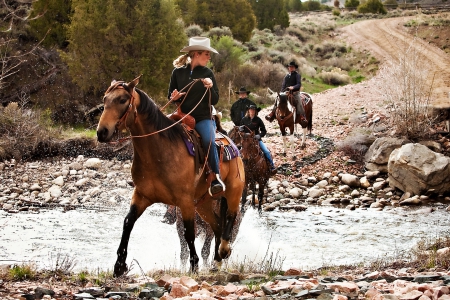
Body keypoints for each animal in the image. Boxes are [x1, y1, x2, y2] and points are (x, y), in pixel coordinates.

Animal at [96, 75, 244, 276]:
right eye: (105, 99)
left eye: (122, 100)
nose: (102, 132)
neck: (159, 152)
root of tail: (232, 143)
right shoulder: (142, 195)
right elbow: (128, 222)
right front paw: (119, 265)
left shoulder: (185, 201)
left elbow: (189, 233)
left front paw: (194, 266)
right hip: (203, 204)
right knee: (216, 226)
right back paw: (216, 261)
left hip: (233, 192)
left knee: (230, 216)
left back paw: (224, 250)